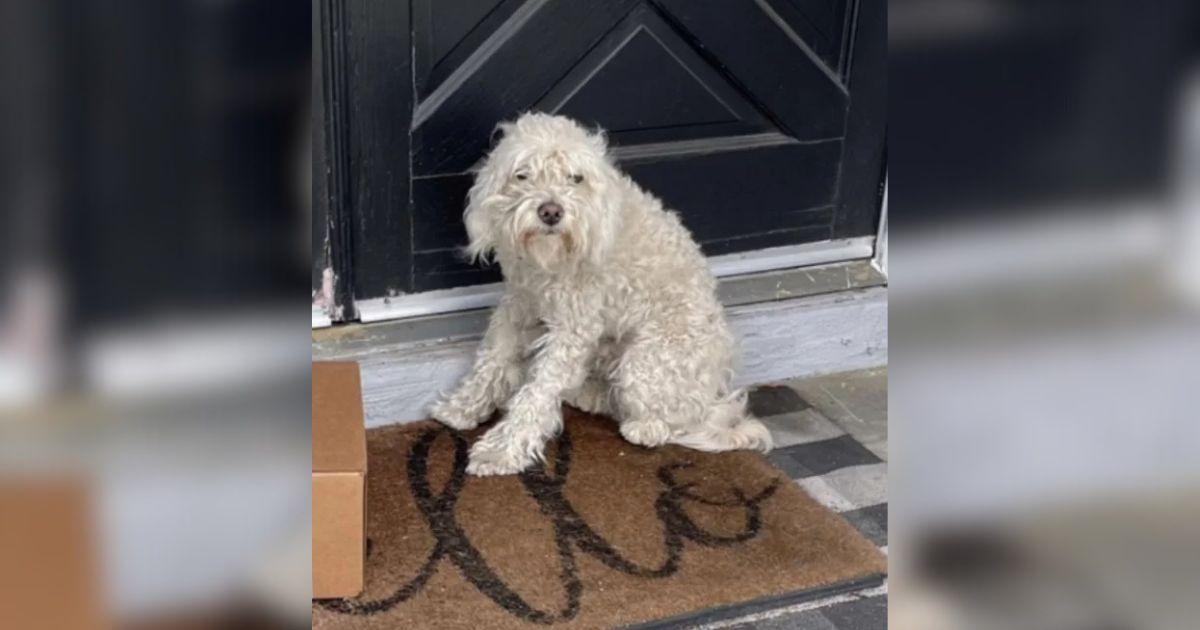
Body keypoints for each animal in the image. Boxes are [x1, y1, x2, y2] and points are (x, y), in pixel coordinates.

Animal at [429, 114, 768, 477]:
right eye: (523, 174)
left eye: (575, 178)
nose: (551, 211)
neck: (550, 261)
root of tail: (715, 390)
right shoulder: (519, 304)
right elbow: (492, 359)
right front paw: (462, 407)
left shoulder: (573, 330)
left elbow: (537, 391)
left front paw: (501, 450)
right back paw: (587, 394)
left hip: (646, 362)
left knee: (676, 420)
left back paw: (644, 427)